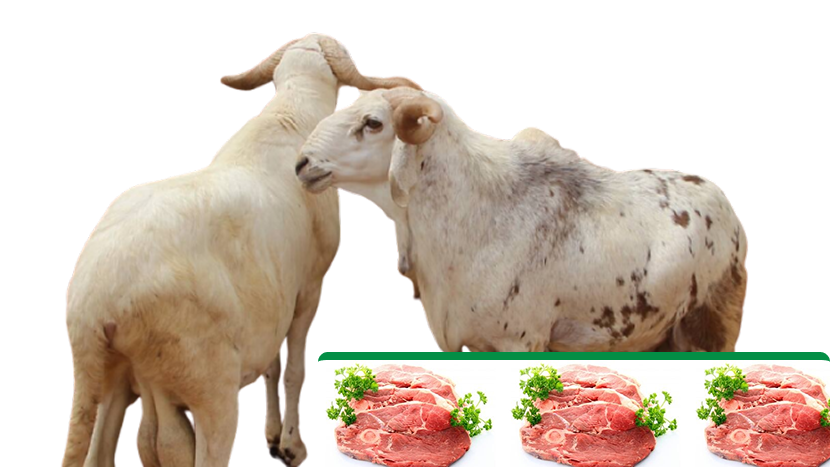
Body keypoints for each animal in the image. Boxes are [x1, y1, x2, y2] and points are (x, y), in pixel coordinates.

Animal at [62, 34, 418, 467]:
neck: (289, 114)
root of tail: (91, 306)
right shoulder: (308, 287)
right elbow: (294, 370)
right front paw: (291, 446)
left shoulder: (272, 301)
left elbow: (272, 366)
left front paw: (272, 436)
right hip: (204, 379)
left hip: (118, 375)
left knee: (130, 445)